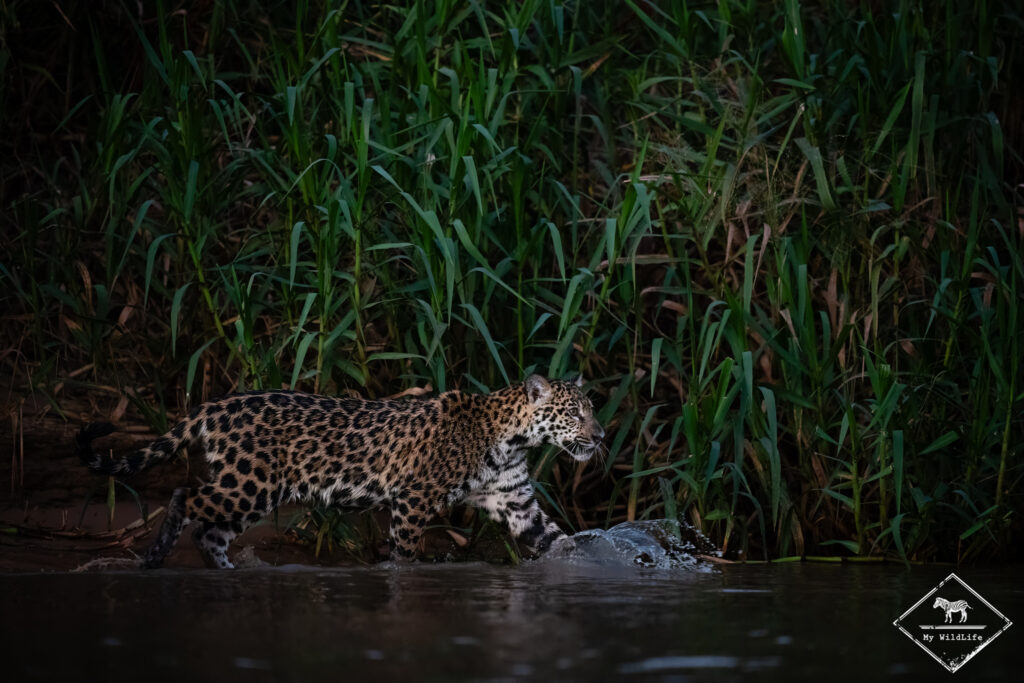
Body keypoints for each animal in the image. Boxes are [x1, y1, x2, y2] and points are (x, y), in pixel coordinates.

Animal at [76, 374, 604, 568]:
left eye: (591, 411)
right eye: (575, 413)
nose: (599, 437)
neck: (512, 439)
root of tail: (214, 406)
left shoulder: (515, 501)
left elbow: (555, 538)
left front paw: (591, 562)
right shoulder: (413, 498)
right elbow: (405, 553)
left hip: (250, 493)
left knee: (212, 533)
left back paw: (227, 573)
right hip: (249, 484)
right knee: (187, 498)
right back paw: (156, 554)